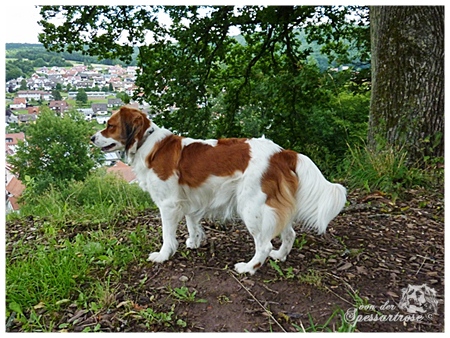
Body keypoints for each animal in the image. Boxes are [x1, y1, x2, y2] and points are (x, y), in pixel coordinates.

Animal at [89, 106, 346, 274]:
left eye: (110, 126)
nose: (91, 137)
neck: (148, 144)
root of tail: (282, 152)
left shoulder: (168, 204)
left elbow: (167, 235)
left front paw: (163, 255)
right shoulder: (190, 199)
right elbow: (192, 223)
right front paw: (194, 242)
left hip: (251, 206)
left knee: (263, 244)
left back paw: (248, 268)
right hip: (272, 205)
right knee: (289, 233)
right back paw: (280, 256)